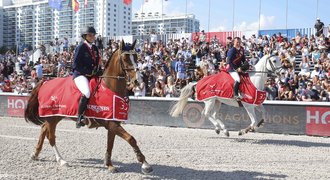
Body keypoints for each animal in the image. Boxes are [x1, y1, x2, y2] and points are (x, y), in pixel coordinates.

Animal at [24, 40, 153, 174]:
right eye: (125, 58)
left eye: (136, 57)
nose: (137, 80)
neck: (110, 87)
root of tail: (45, 81)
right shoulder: (112, 124)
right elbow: (131, 139)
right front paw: (145, 164)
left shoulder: (112, 123)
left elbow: (110, 144)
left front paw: (109, 164)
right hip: (52, 117)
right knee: (51, 137)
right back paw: (61, 160)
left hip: (55, 116)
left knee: (44, 128)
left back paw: (35, 154)